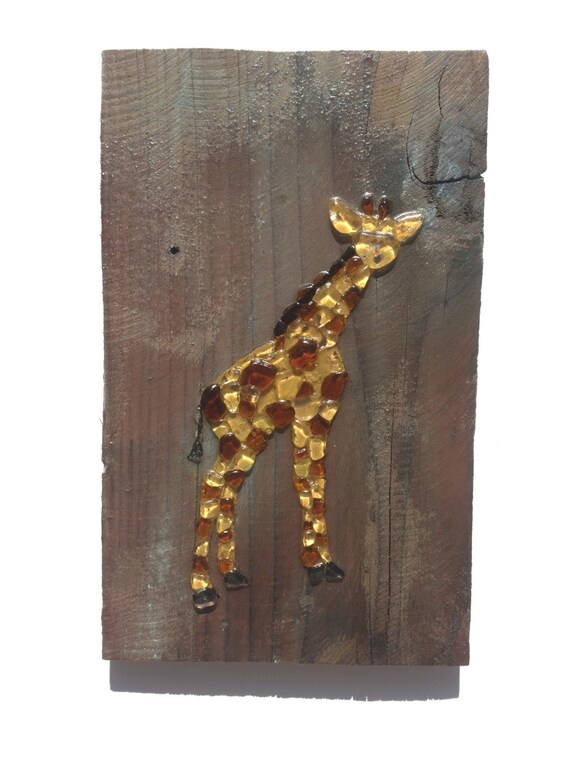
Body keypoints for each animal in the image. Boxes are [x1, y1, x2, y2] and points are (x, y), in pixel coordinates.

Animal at [190, 193, 423, 612]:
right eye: (363, 235)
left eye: (389, 236)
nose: (378, 254)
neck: (324, 334)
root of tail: (207, 397)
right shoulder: (304, 415)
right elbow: (305, 483)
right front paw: (317, 564)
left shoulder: (321, 417)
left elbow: (315, 483)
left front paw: (324, 563)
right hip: (235, 436)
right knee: (211, 487)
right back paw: (202, 588)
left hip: (250, 439)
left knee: (229, 489)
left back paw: (232, 575)